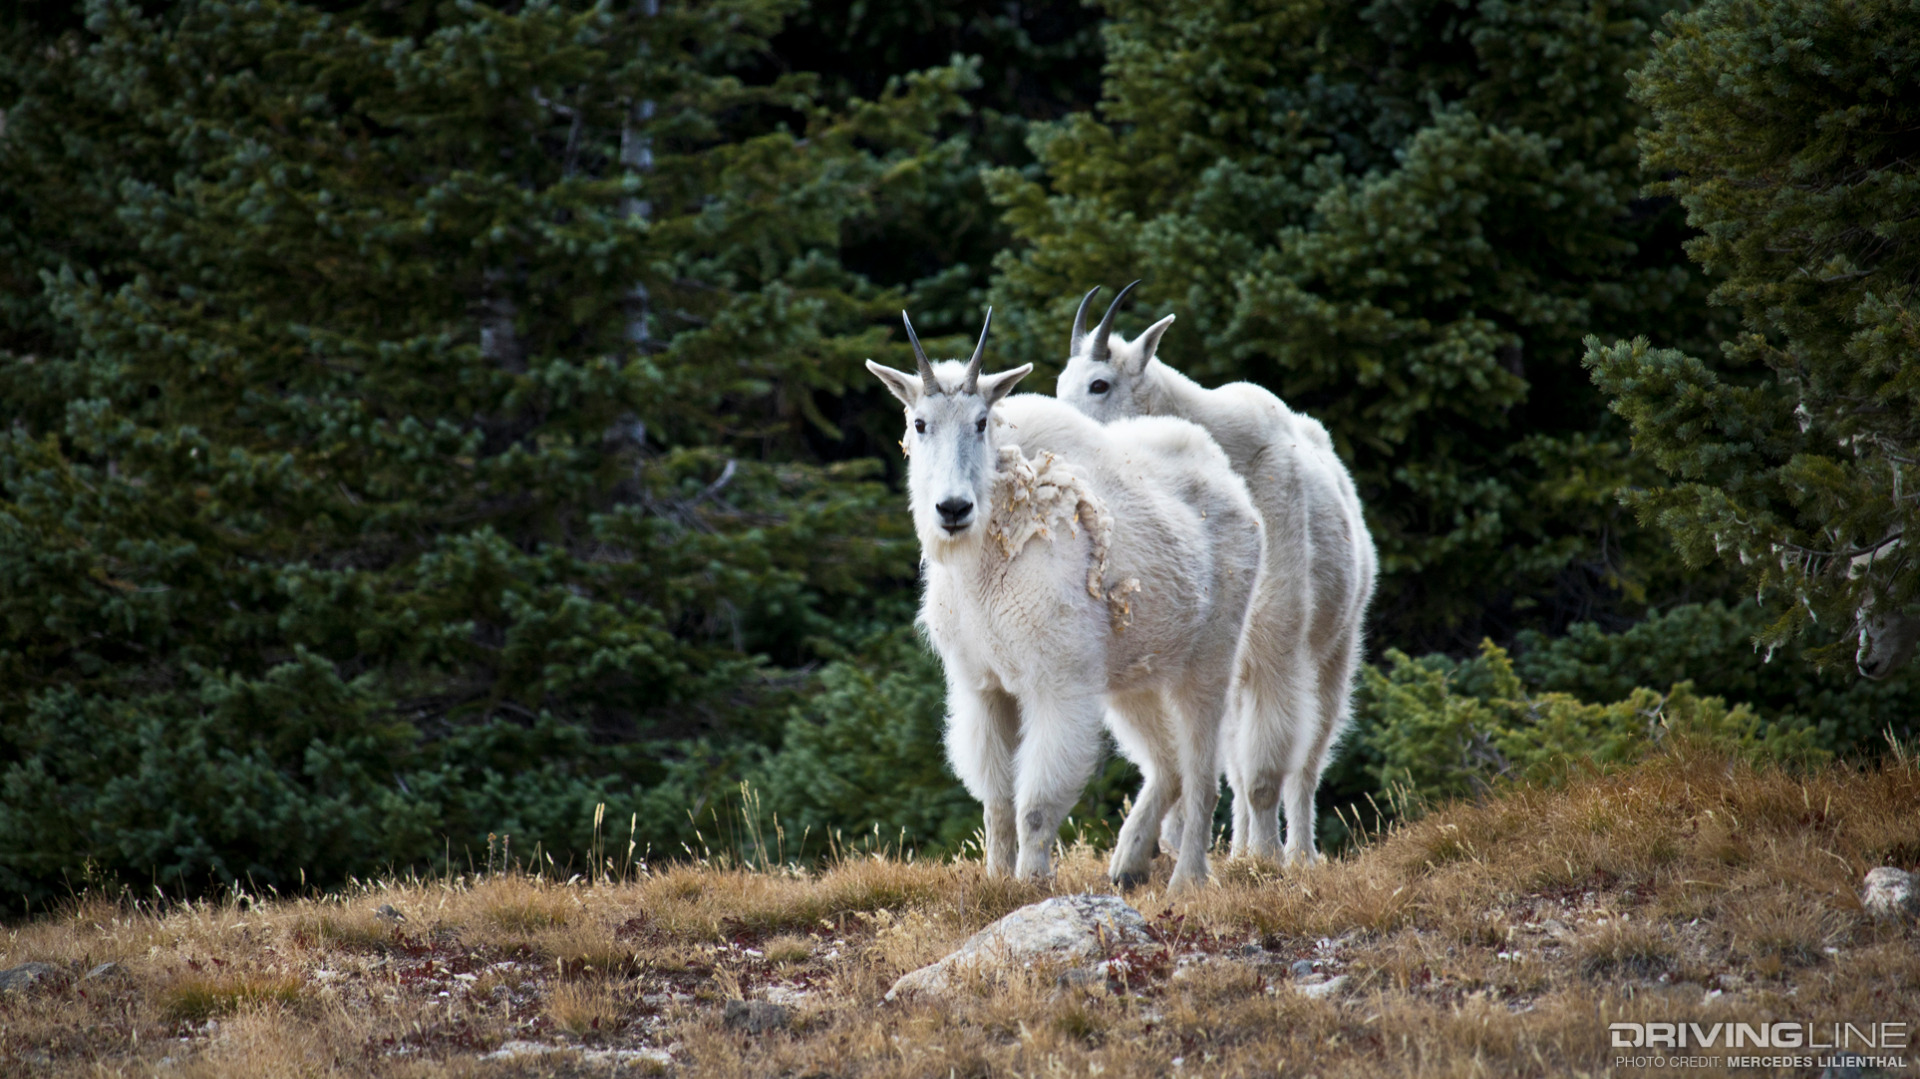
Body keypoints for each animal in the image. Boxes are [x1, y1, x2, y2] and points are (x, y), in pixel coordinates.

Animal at [867, 308, 1263, 891]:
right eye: (919, 423)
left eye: (981, 422)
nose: (953, 509)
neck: (983, 567)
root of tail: (1230, 482)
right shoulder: (982, 686)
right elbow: (996, 799)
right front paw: (995, 881)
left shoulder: (1057, 683)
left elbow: (1035, 800)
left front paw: (1031, 883)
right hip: (1133, 676)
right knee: (1166, 762)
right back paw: (1128, 864)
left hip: (1209, 658)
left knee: (1200, 773)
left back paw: (1187, 877)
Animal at [1055, 283, 1378, 866]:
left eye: (1099, 383)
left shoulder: (1276, 642)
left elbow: (1266, 767)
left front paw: (1268, 861)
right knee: (1233, 757)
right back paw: (1237, 848)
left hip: (1336, 645)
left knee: (1308, 758)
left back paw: (1297, 853)